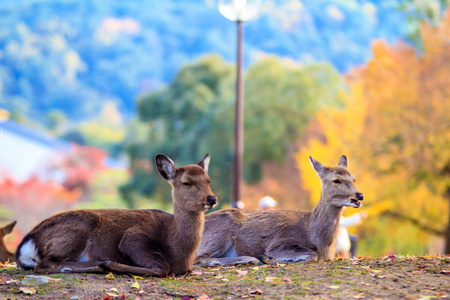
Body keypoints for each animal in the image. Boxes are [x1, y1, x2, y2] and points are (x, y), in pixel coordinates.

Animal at [14, 155, 217, 276]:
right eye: (187, 182)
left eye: (208, 180)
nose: (212, 198)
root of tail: (27, 244)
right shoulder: (133, 237)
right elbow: (162, 268)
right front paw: (111, 264)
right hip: (75, 231)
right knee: (44, 265)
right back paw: (99, 264)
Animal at [195, 156, 364, 266]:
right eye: (336, 180)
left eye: (354, 179)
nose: (359, 195)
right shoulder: (279, 243)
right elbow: (312, 255)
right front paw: (268, 258)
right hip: (219, 231)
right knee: (200, 258)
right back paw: (252, 259)